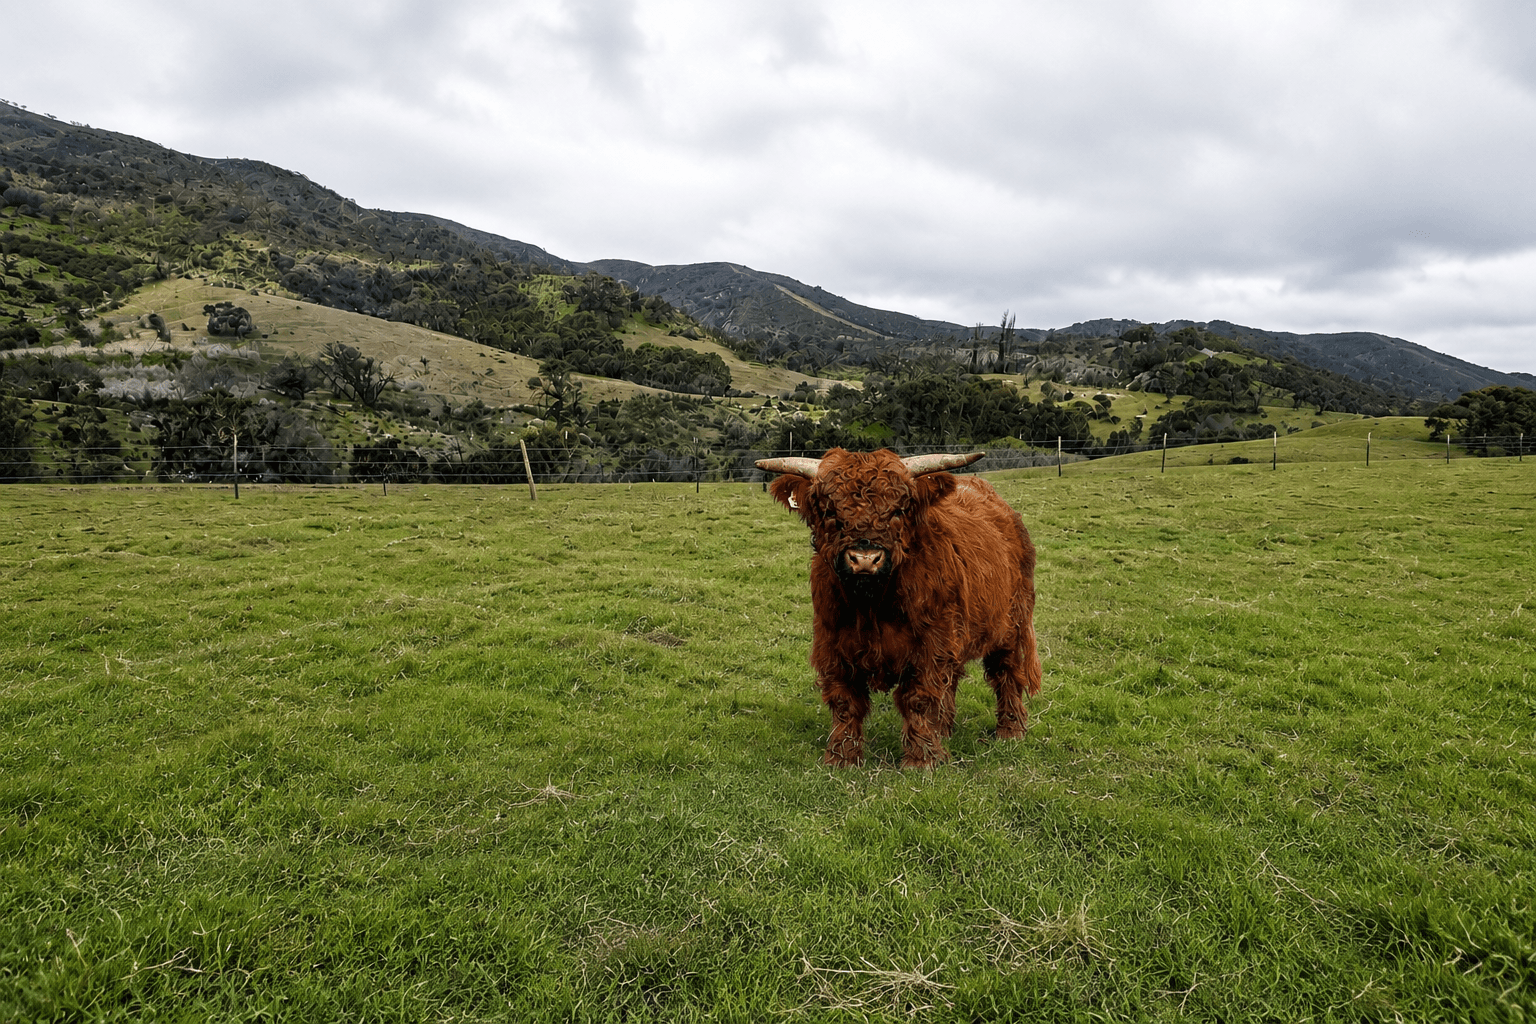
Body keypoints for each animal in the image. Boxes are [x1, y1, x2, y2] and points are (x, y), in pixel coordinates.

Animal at [756, 447, 1042, 768]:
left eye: (897, 510)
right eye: (830, 511)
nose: (865, 559)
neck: (871, 606)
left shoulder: (931, 645)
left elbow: (919, 698)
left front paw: (922, 760)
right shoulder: (832, 644)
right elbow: (844, 701)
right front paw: (842, 757)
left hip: (1010, 624)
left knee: (1006, 673)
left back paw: (1010, 730)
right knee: (955, 677)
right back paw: (945, 728)